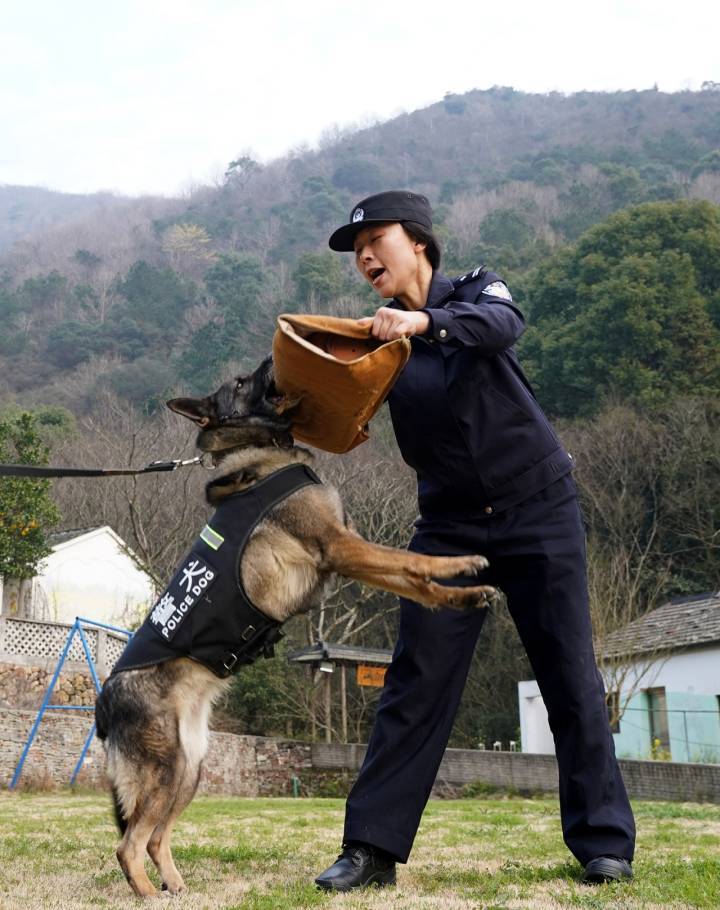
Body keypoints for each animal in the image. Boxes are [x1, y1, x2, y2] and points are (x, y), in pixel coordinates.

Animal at [95, 356, 496, 896]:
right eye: (241, 383)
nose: (269, 359)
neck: (259, 450)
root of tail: (104, 703)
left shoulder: (346, 550)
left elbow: (415, 582)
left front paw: (463, 595)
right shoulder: (339, 546)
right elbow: (412, 561)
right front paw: (461, 565)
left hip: (189, 768)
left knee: (155, 838)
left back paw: (178, 890)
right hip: (167, 768)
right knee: (129, 845)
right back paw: (148, 897)